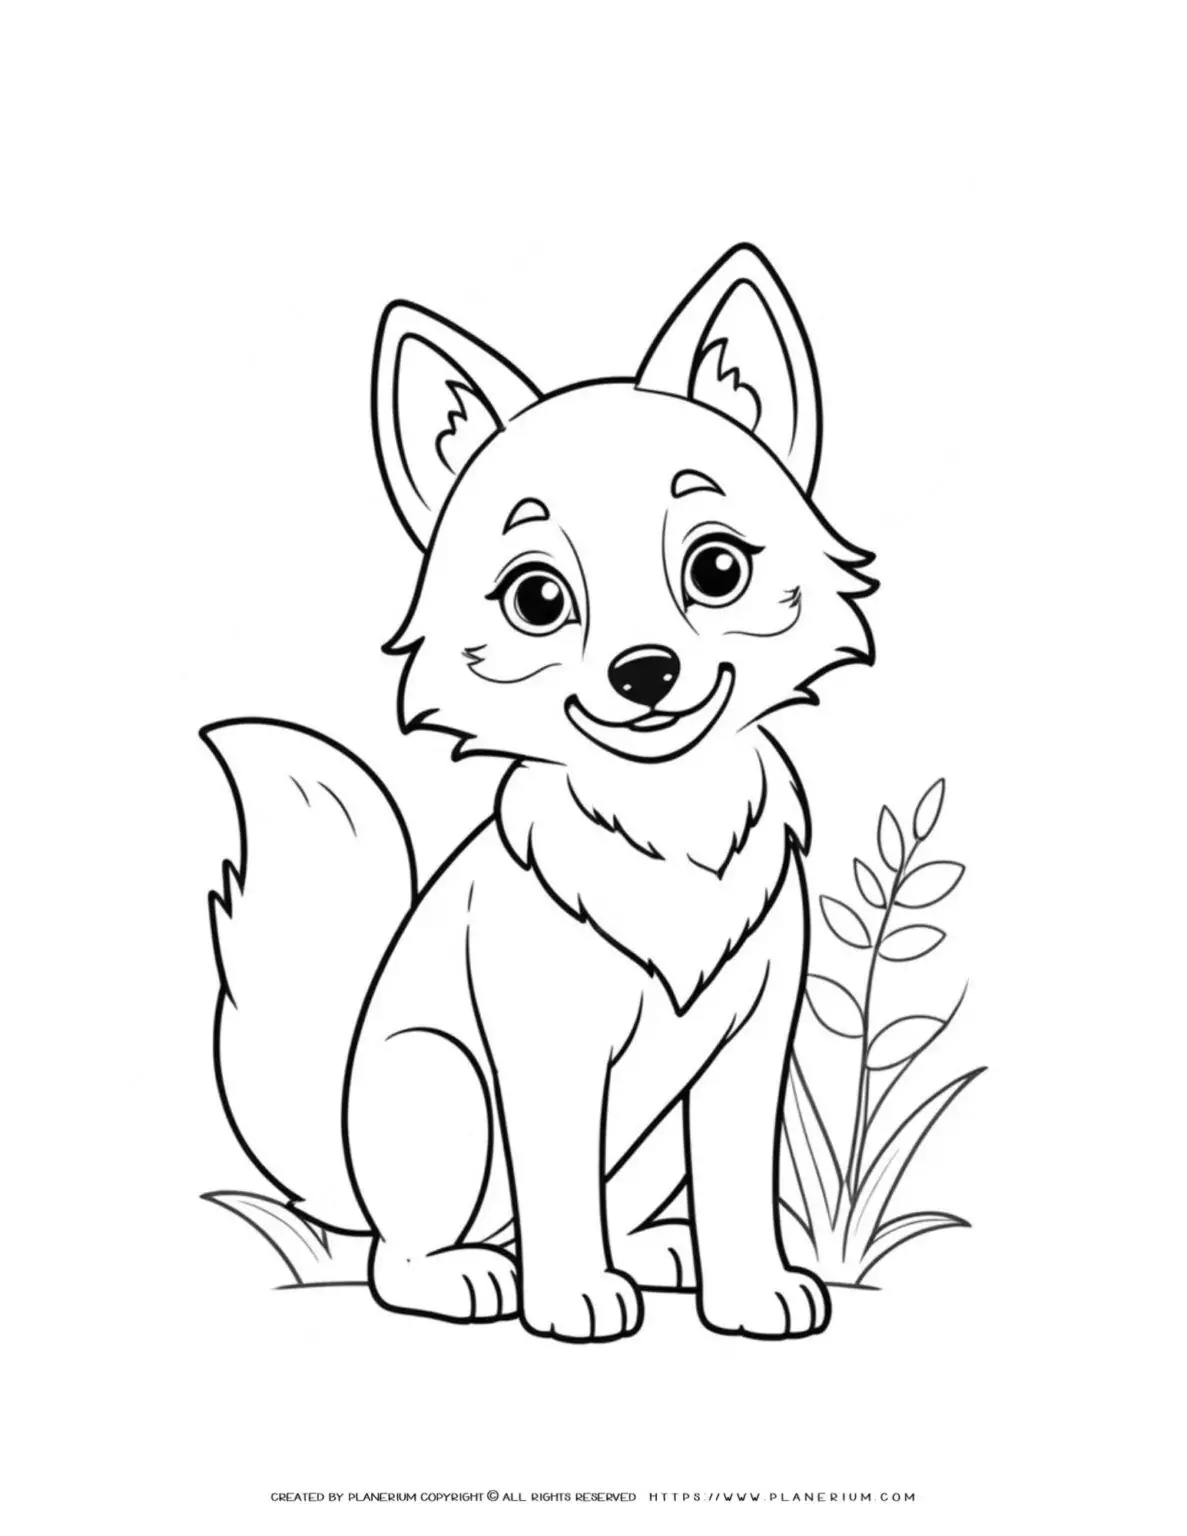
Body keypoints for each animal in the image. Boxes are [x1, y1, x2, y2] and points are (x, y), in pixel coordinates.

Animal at [203, 244, 876, 1341]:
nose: (644, 672)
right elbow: (555, 1180)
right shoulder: (544, 1050)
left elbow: (736, 1179)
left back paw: (652, 1254)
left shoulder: (749, 1046)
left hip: (640, 1146)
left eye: (716, 568)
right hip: (441, 1087)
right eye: (537, 598)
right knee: (403, 1255)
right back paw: (474, 1276)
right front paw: (571, 1299)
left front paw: (748, 1291)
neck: (664, 825)